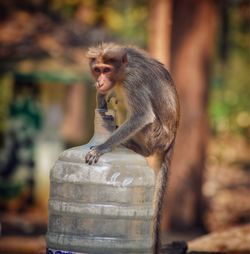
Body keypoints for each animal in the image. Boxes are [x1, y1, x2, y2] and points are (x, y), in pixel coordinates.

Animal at [85, 43, 179, 254]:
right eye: (98, 70)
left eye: (106, 70)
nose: (100, 81)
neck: (121, 72)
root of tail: (171, 139)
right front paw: (100, 98)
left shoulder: (132, 82)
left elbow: (142, 116)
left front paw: (102, 147)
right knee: (117, 99)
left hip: (155, 136)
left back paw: (130, 145)